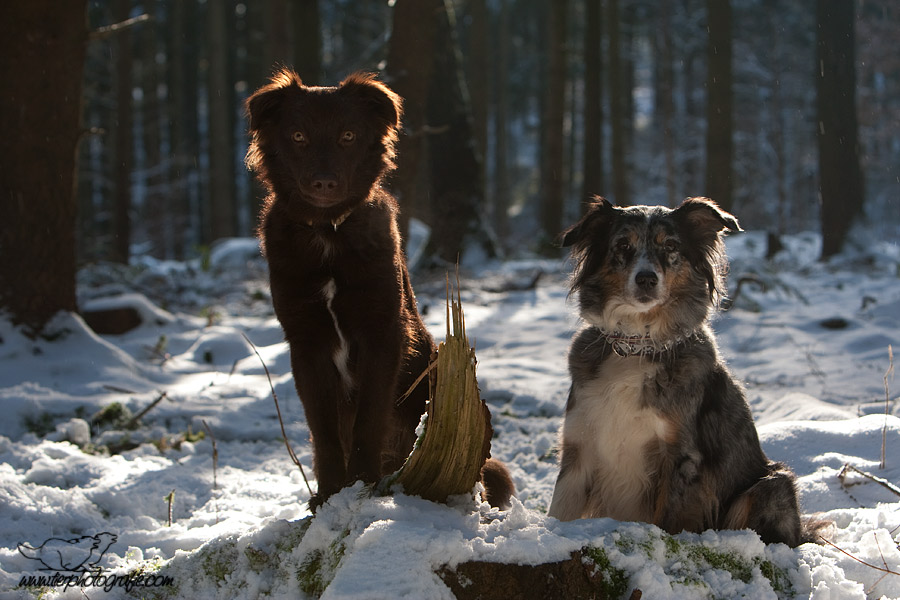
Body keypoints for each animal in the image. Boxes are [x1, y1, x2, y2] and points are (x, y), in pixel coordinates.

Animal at [246, 69, 510, 510]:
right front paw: (329, 493)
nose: (323, 182)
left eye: (348, 135)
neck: (329, 233)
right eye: (298, 136)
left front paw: (361, 483)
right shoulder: (306, 342)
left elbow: (369, 418)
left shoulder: (382, 331)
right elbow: (324, 429)